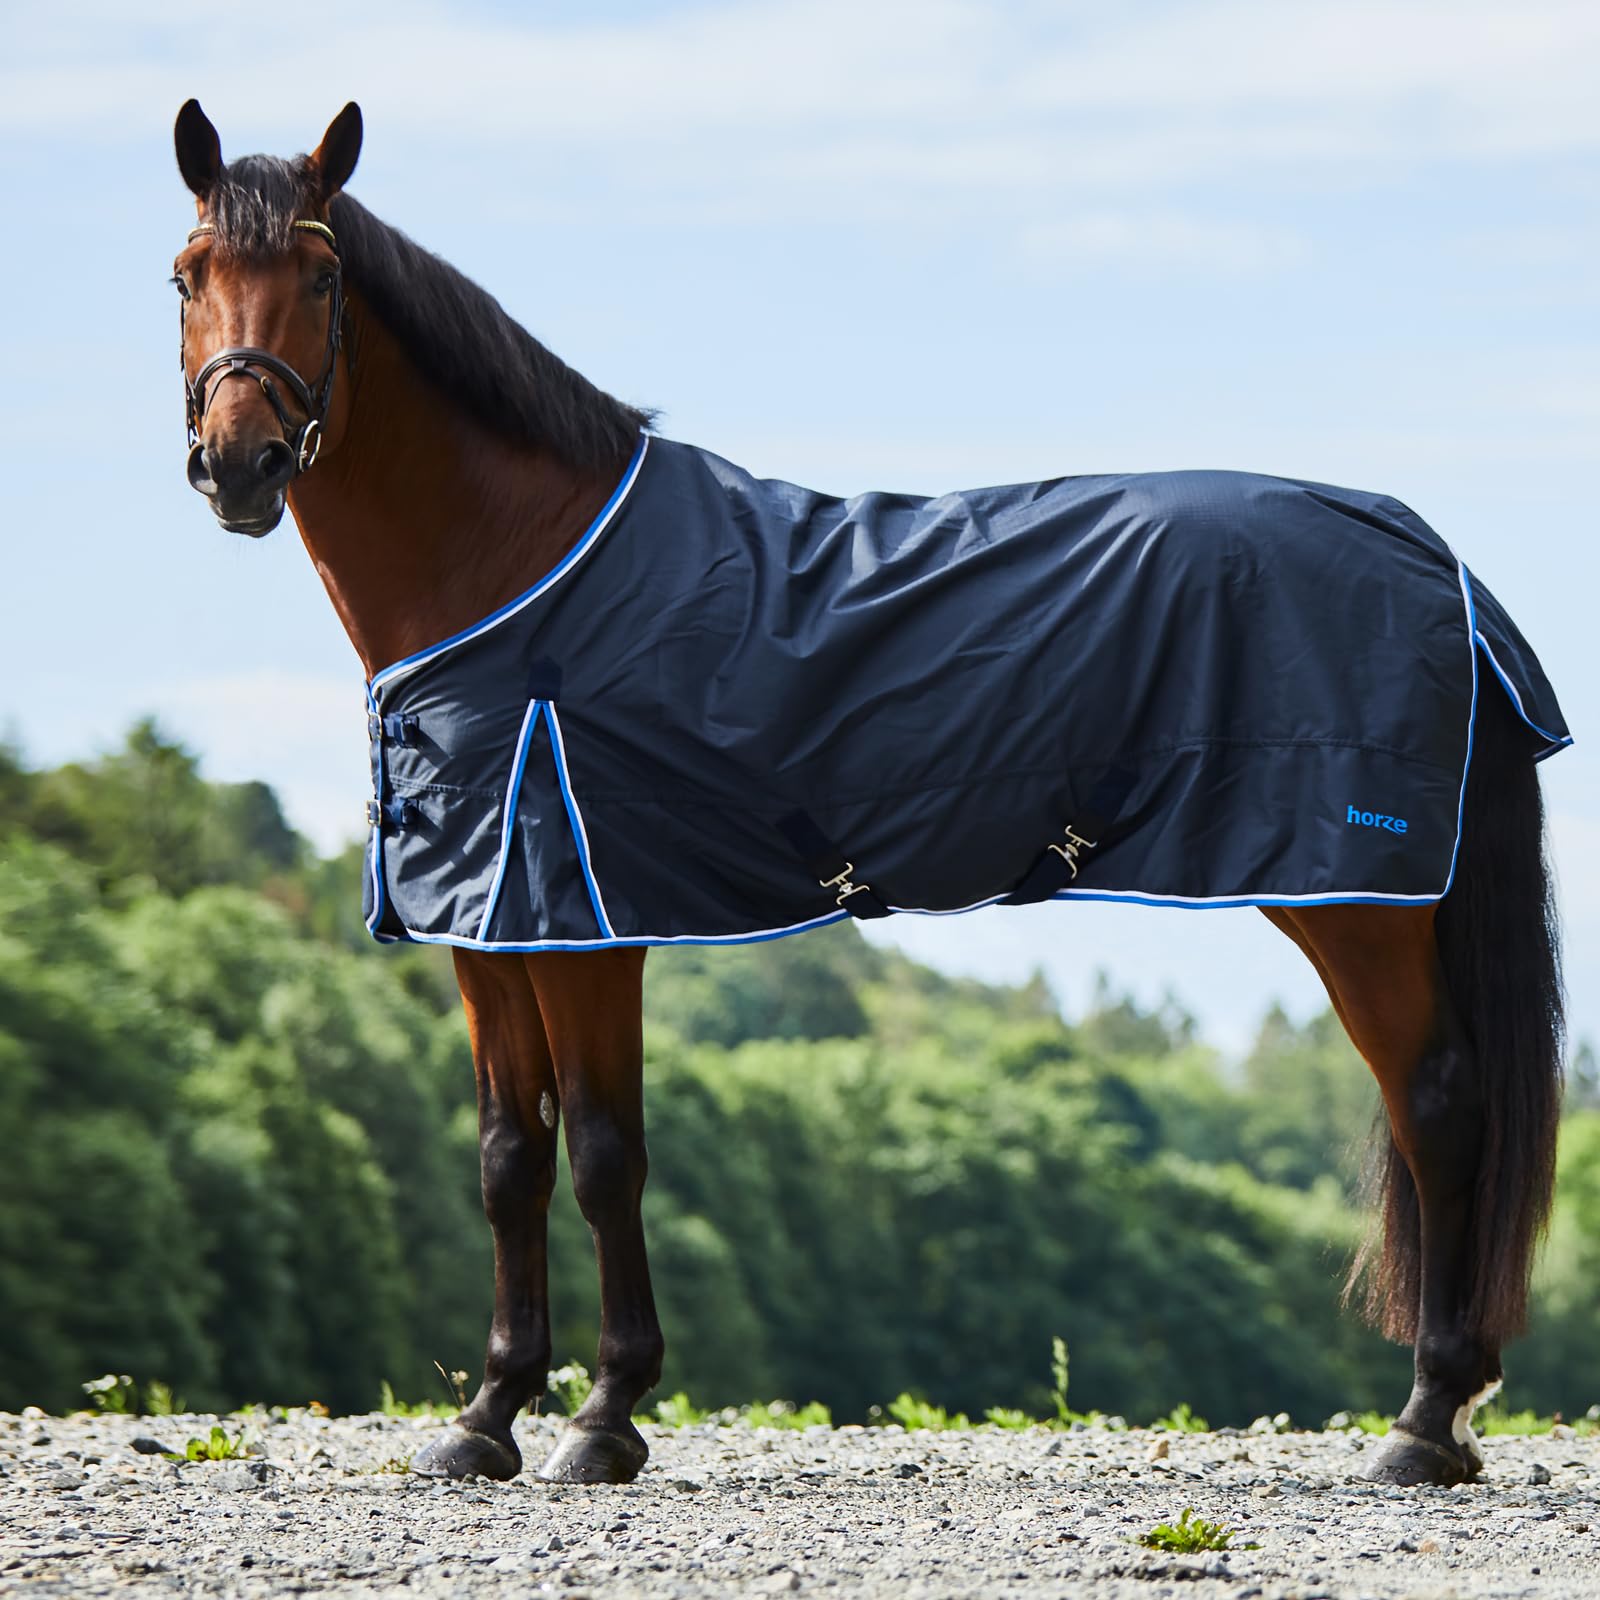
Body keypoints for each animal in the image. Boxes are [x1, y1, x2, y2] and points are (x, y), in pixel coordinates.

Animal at [170, 100, 1568, 1490]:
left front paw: (604, 1415)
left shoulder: (587, 925)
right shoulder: (490, 927)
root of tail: (1427, 553)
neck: (521, 567)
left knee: (1439, 1105)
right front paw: (488, 1412)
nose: (239, 464)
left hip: (1357, 901)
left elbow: (608, 1156)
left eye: (322, 277)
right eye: (188, 275)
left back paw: (1425, 1421)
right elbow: (509, 1159)